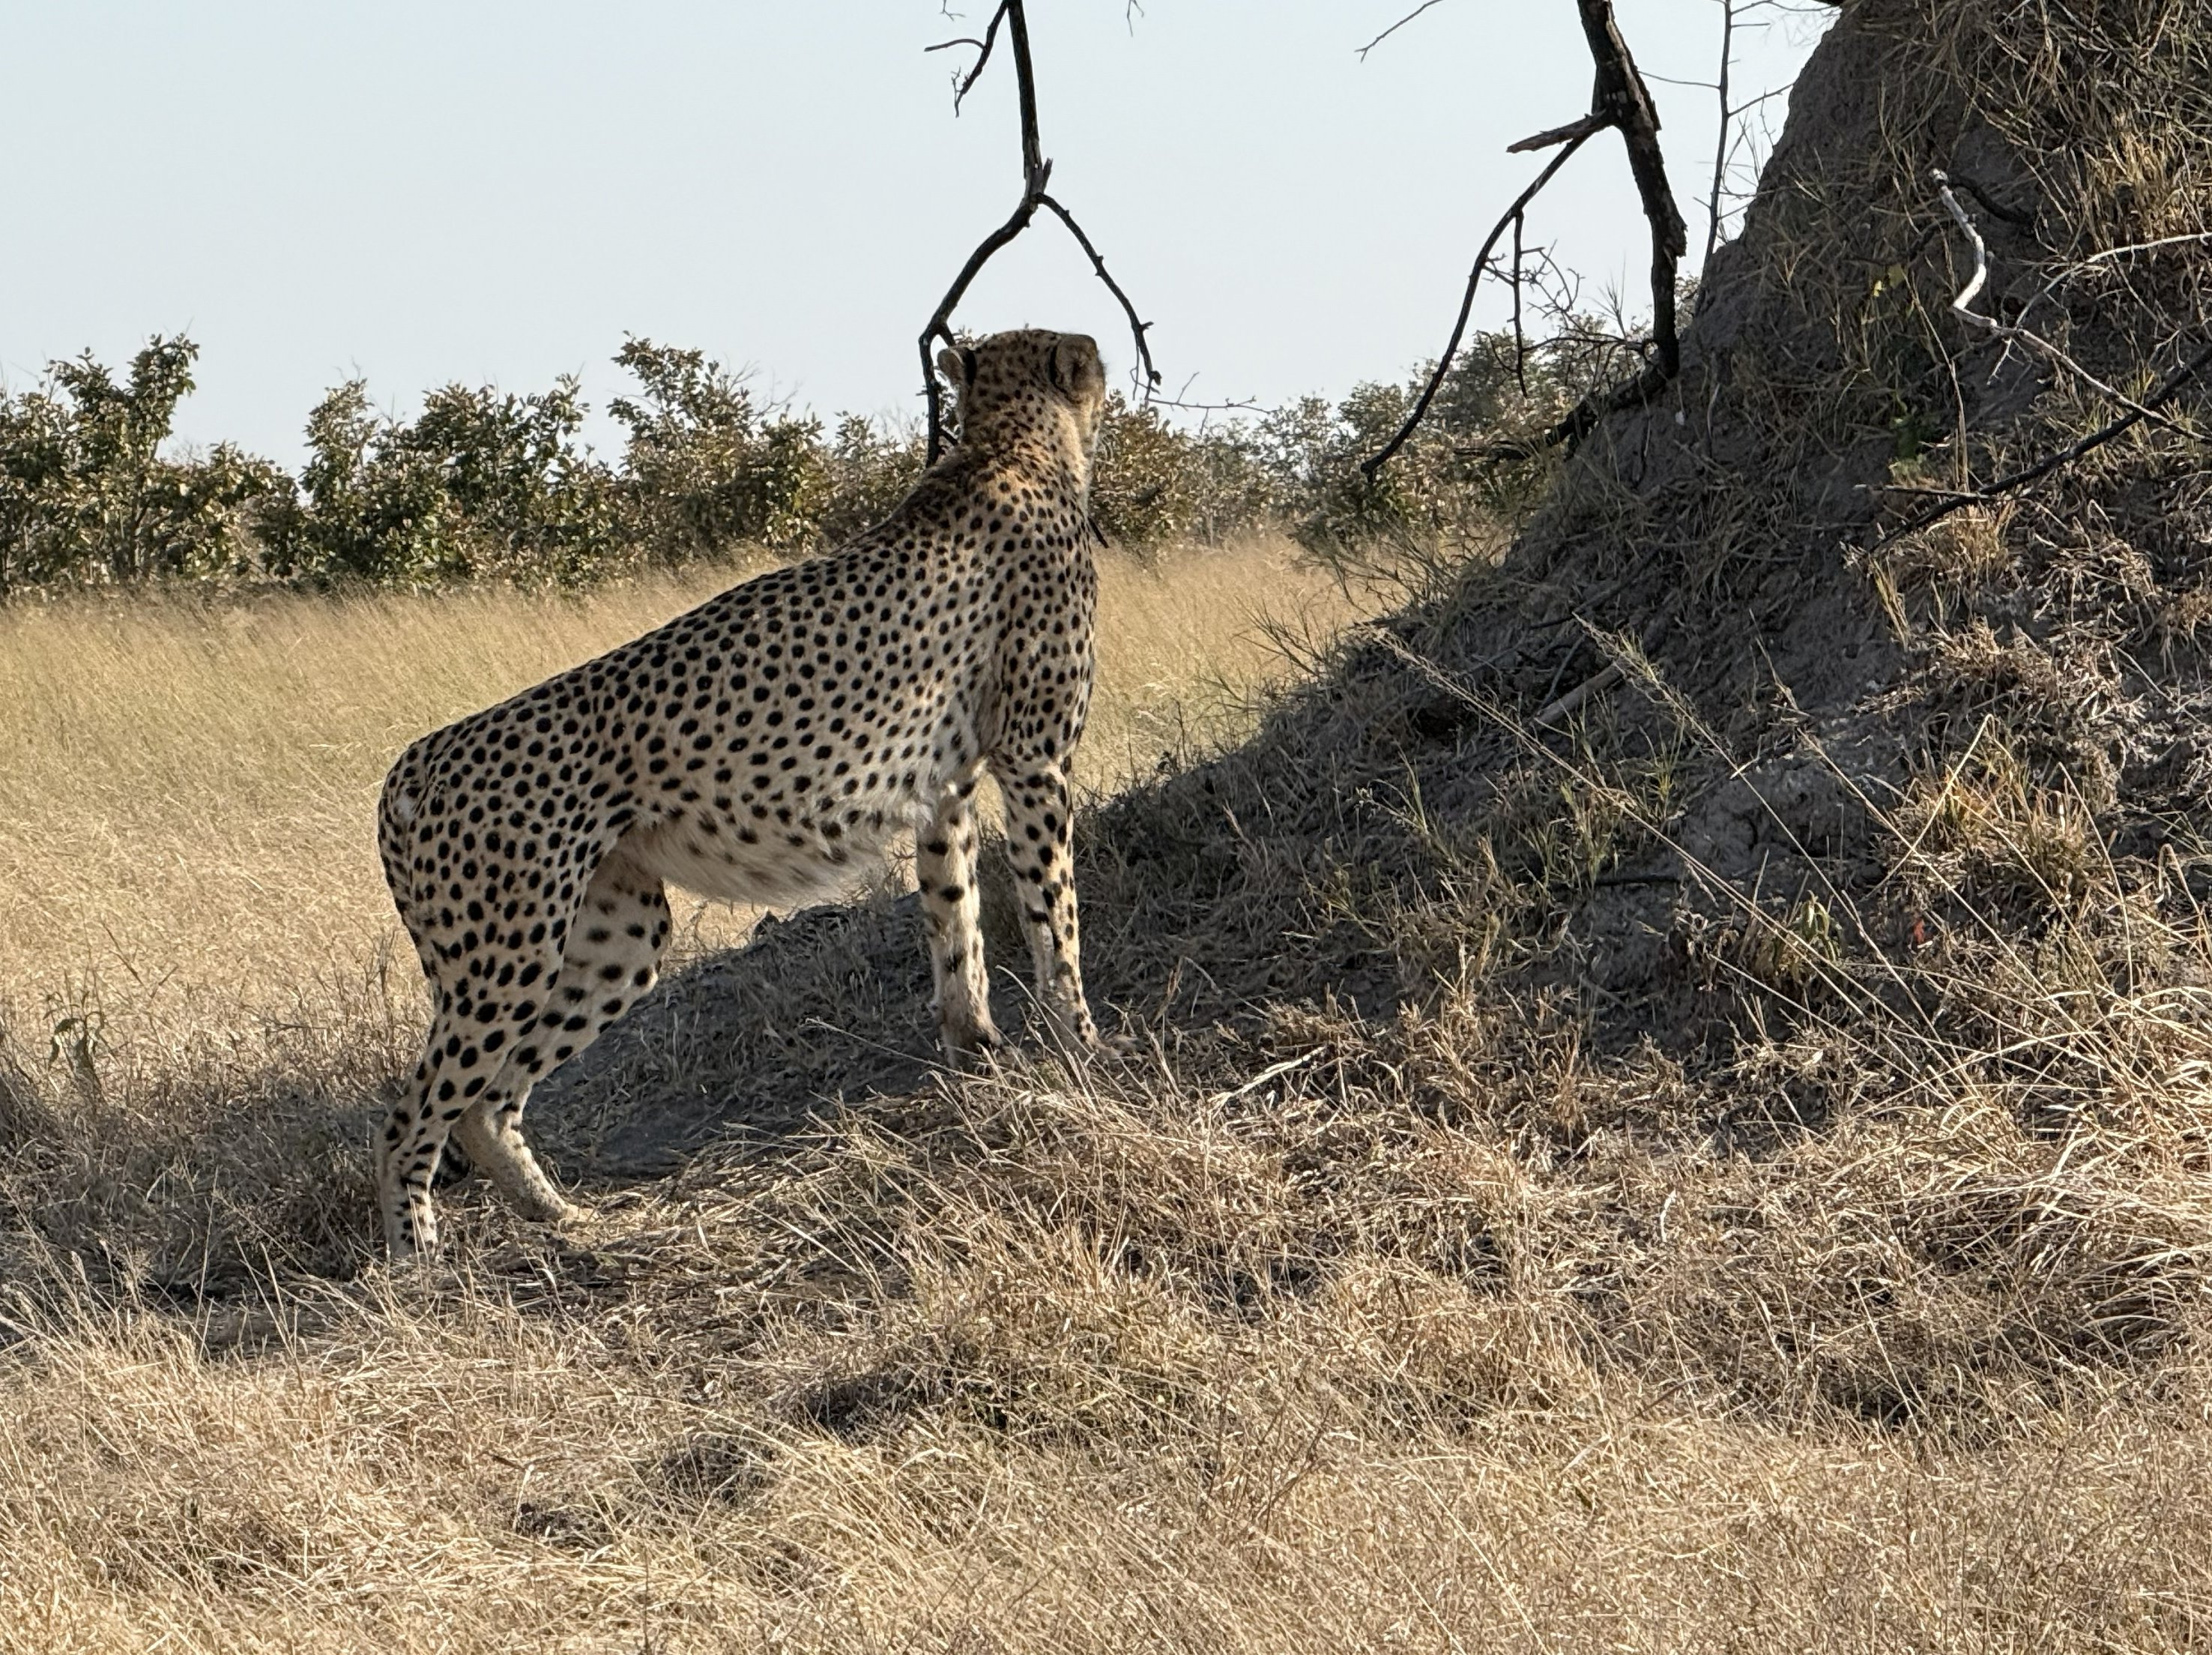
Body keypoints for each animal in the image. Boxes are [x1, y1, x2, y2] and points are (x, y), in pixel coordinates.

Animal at [373, 327, 1113, 1259]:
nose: (1104, 366)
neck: (1010, 443)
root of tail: (411, 762)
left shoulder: (941, 791)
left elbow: (957, 923)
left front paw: (974, 1045)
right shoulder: (1035, 761)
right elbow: (1056, 915)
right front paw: (1083, 1046)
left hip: (614, 938)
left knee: (485, 1102)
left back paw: (565, 1219)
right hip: (506, 956)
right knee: (413, 1114)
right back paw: (417, 1258)